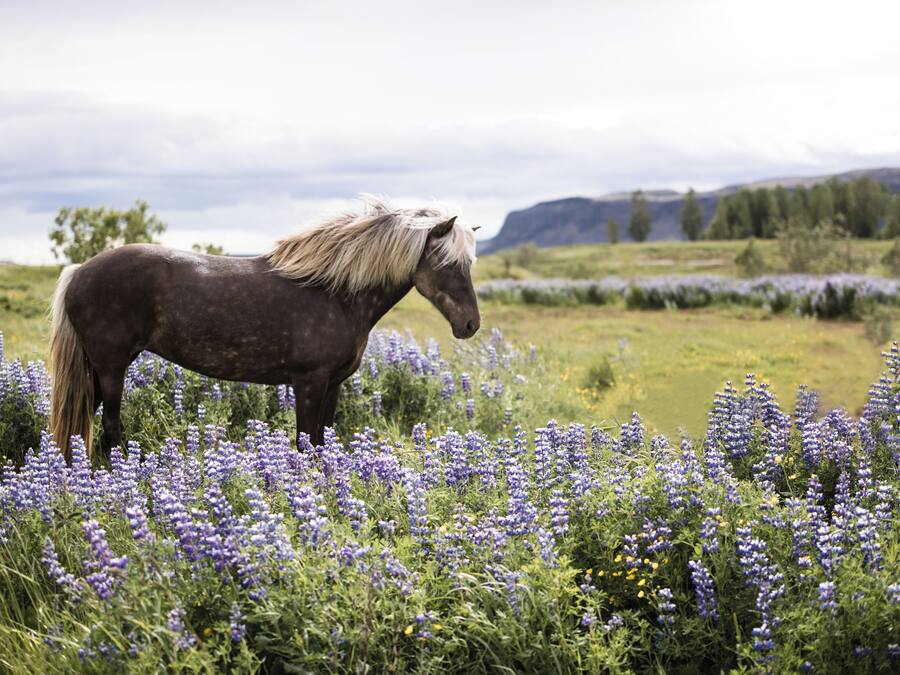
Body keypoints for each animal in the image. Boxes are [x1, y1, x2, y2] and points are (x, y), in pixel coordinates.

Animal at [48, 197, 480, 461]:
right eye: (447, 264)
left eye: (468, 264)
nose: (470, 324)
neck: (334, 292)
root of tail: (78, 272)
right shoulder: (309, 382)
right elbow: (306, 443)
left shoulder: (333, 384)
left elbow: (322, 441)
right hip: (111, 369)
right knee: (110, 429)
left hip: (97, 371)